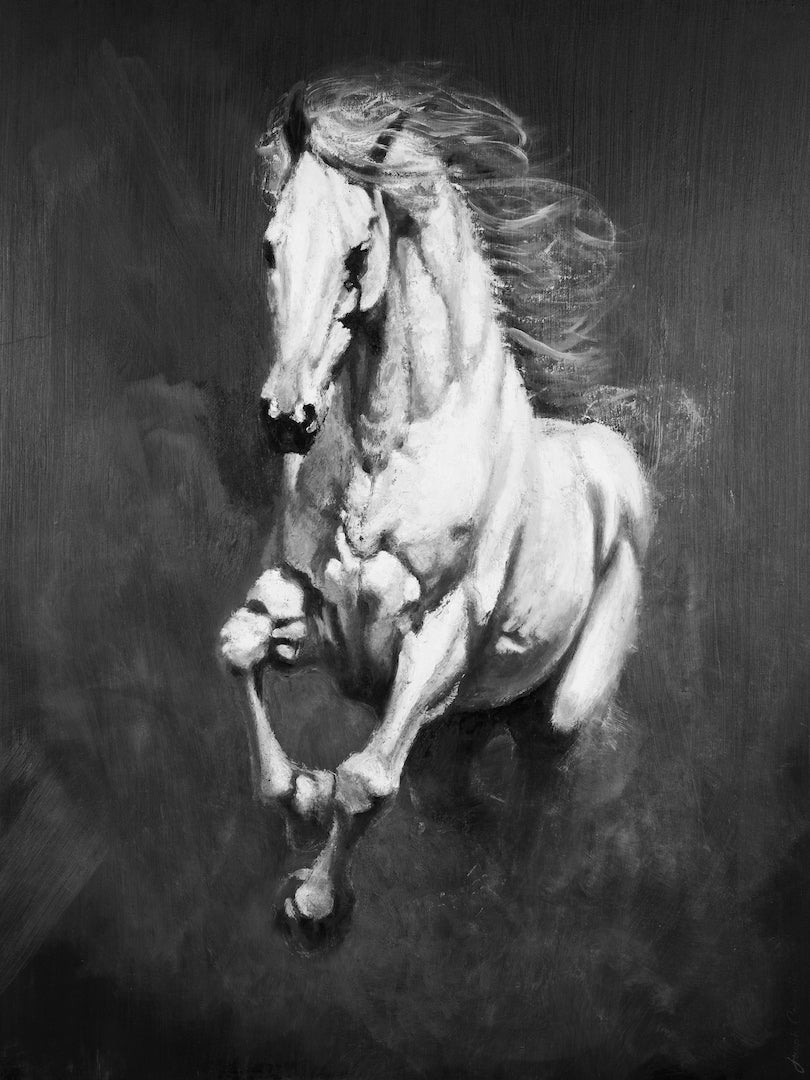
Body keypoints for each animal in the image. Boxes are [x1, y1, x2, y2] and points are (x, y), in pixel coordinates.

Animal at [218, 71, 652, 950]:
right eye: (271, 246)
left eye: (358, 251)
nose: (287, 418)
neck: (392, 454)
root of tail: (614, 467)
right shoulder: (320, 616)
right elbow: (240, 647)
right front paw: (296, 793)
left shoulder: (439, 640)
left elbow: (366, 779)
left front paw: (315, 902)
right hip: (468, 730)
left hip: (557, 716)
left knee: (540, 793)